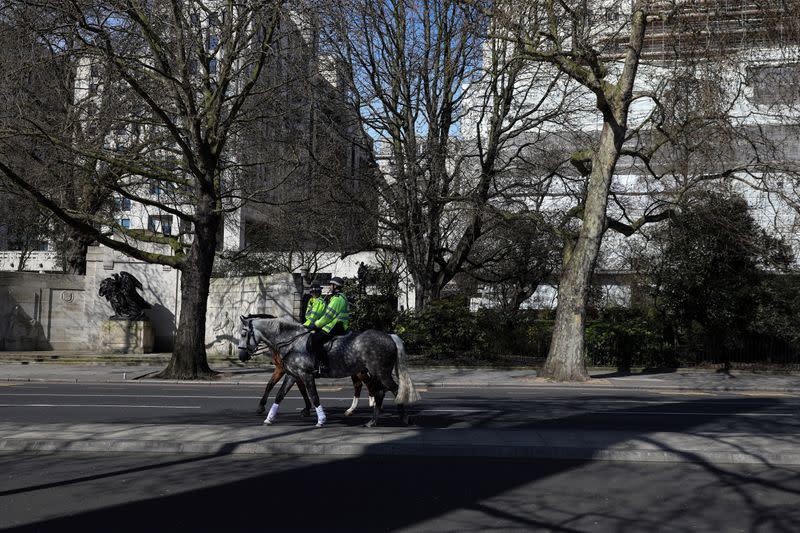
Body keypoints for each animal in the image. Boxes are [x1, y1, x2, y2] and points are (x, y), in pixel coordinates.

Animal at [238, 314, 422, 426]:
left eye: (243, 334)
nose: (241, 355)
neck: (292, 342)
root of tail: (389, 336)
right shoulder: (292, 375)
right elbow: (279, 395)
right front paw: (269, 418)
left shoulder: (305, 375)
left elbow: (314, 396)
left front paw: (321, 419)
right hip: (373, 373)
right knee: (379, 392)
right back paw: (372, 421)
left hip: (380, 373)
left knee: (394, 390)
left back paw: (404, 418)